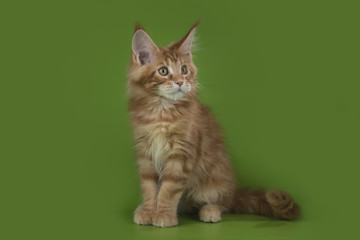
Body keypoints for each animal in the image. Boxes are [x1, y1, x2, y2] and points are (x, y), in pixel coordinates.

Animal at [128, 21, 300, 227]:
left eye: (184, 69)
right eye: (163, 71)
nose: (180, 82)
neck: (161, 113)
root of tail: (234, 191)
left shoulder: (181, 153)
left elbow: (169, 189)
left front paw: (163, 214)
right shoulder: (145, 152)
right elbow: (149, 186)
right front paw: (147, 211)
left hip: (215, 180)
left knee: (223, 203)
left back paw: (210, 211)